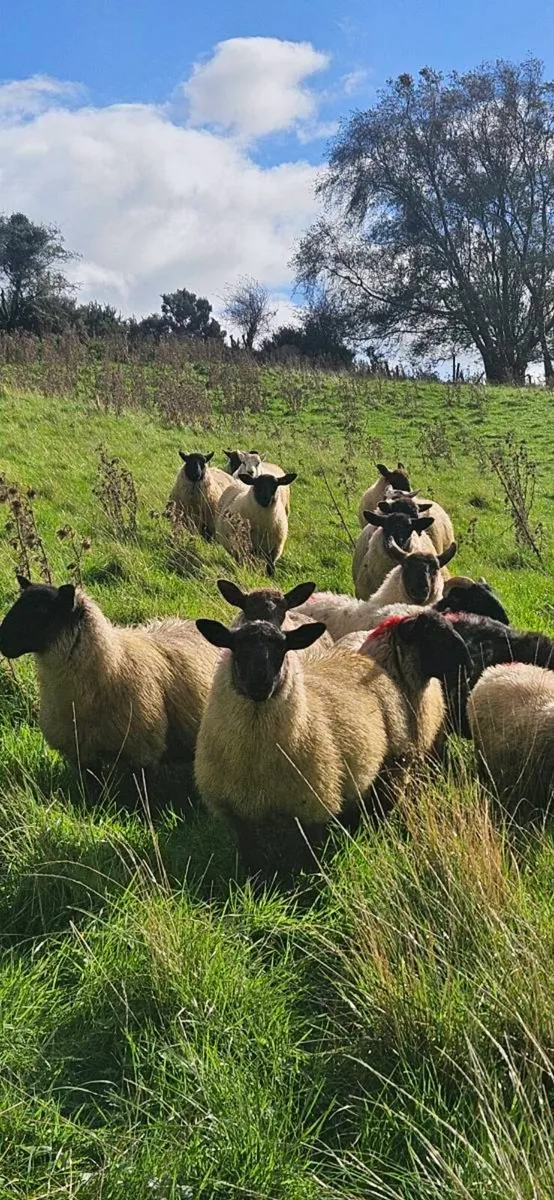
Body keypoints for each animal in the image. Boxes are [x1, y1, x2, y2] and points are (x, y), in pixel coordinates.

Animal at [194, 610, 469, 873]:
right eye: (236, 648)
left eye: (282, 649)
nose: (259, 684)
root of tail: (361, 660)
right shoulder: (238, 814)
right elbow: (252, 858)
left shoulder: (312, 807)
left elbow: (308, 856)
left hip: (391, 766)